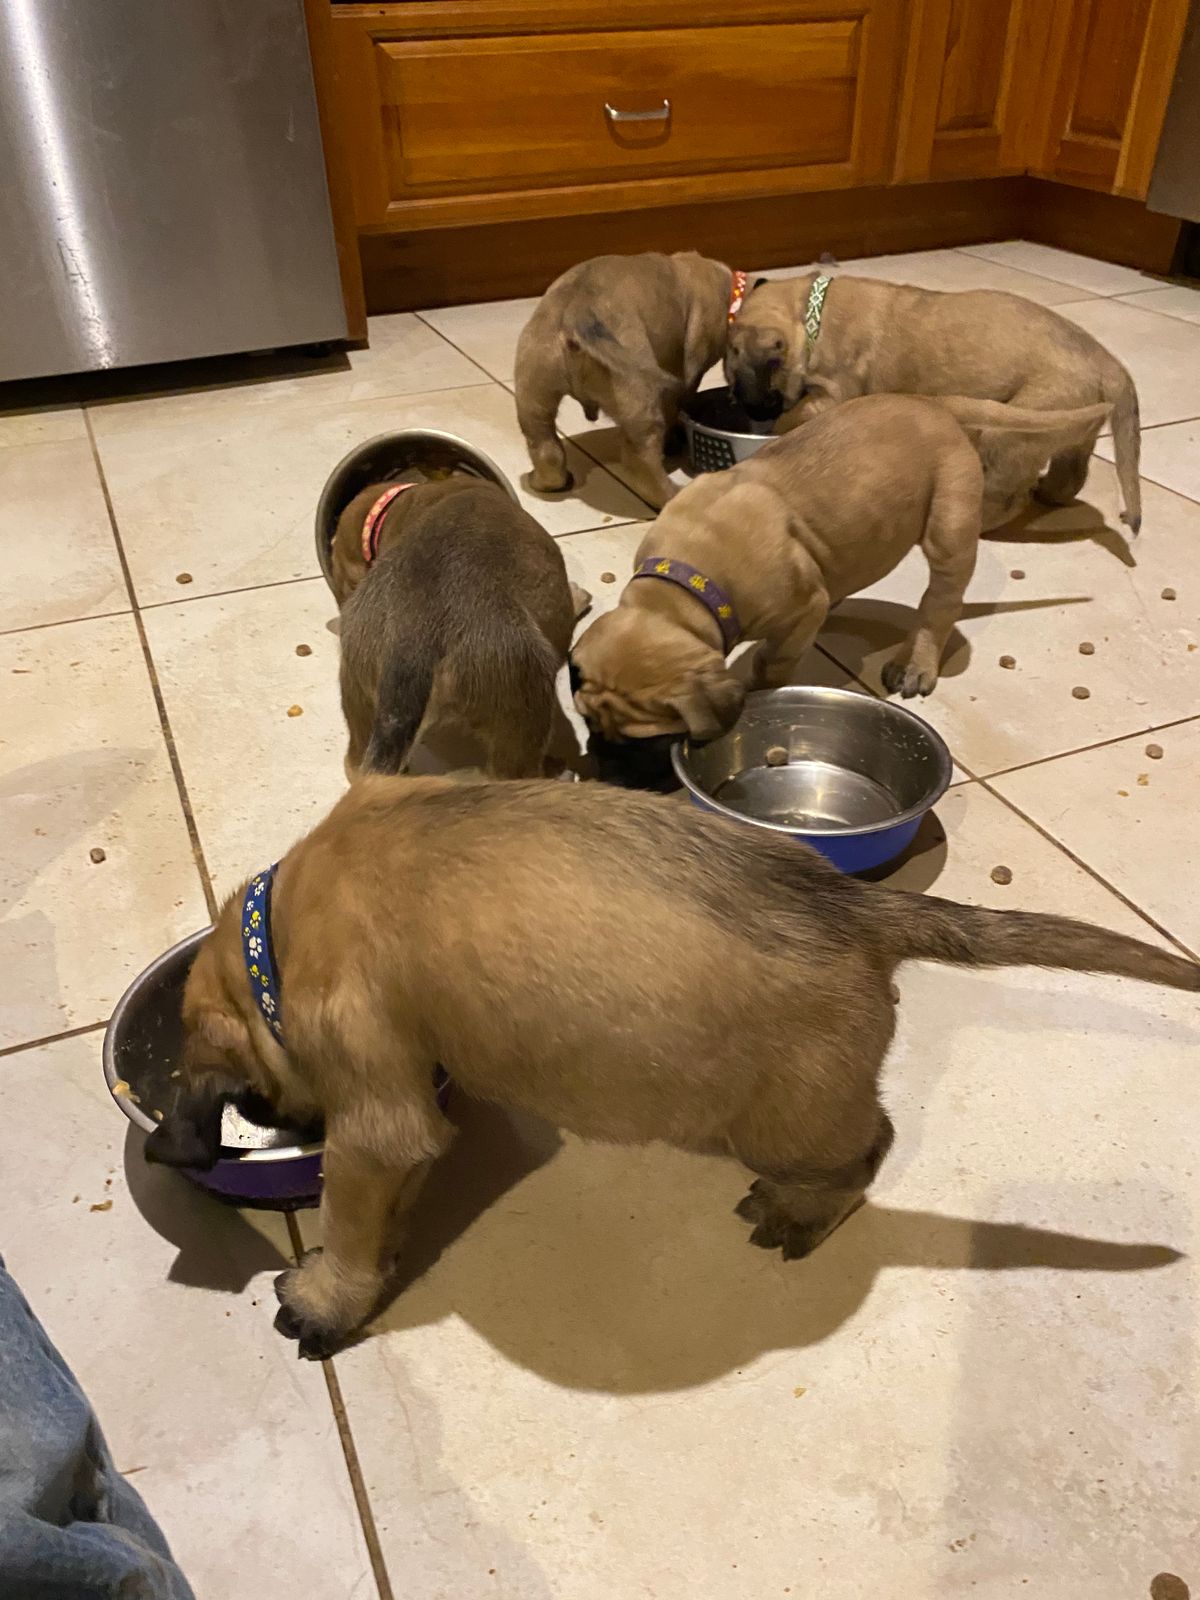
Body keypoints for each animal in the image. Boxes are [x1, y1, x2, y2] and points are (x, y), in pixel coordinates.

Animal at [144, 774, 1199, 1358]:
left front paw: (325, 1298)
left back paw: (797, 1212)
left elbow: (353, 1225)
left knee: (868, 1149)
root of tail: (861, 909)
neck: (276, 932)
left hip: (787, 1116)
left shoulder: (374, 1120)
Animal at [514, 250, 743, 510]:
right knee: (642, 461)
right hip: (638, 402)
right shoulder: (686, 378)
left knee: (545, 447)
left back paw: (544, 480)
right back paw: (670, 495)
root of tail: (576, 314)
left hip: (534, 392)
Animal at [571, 393, 1110, 744]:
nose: (599, 746)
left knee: (940, 602)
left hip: (950, 526)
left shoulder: (796, 613)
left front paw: (761, 687)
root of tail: (932, 403)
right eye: (588, 720)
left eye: (642, 737)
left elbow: (774, 660)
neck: (684, 589)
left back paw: (917, 662)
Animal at [726, 272, 1141, 532]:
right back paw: (1050, 494)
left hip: (1013, 432)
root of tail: (1109, 365)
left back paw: (983, 524)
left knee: (1010, 496)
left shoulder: (832, 393)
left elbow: (793, 414)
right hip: (1072, 432)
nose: (747, 410)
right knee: (1071, 474)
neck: (810, 314)